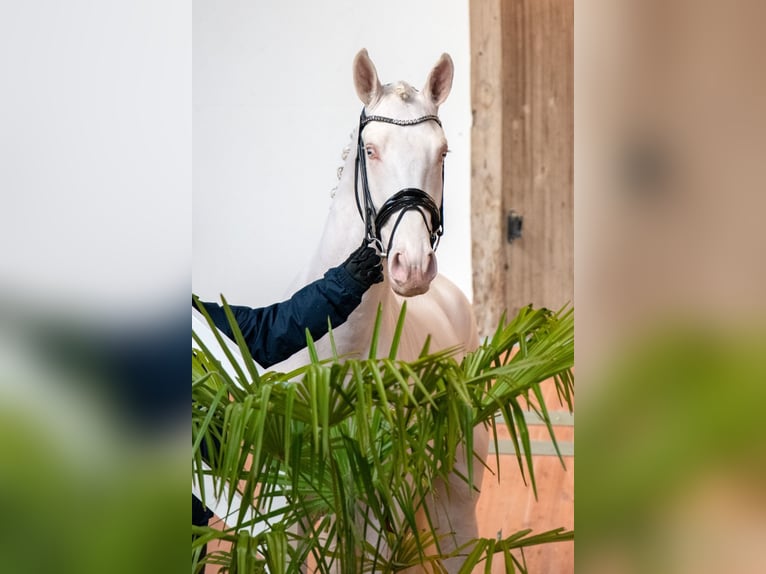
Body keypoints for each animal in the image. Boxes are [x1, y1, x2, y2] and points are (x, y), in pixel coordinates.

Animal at [280, 50, 488, 574]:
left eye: (443, 153)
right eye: (371, 150)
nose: (411, 265)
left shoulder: (379, 512)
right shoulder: (290, 513)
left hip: (454, 498)